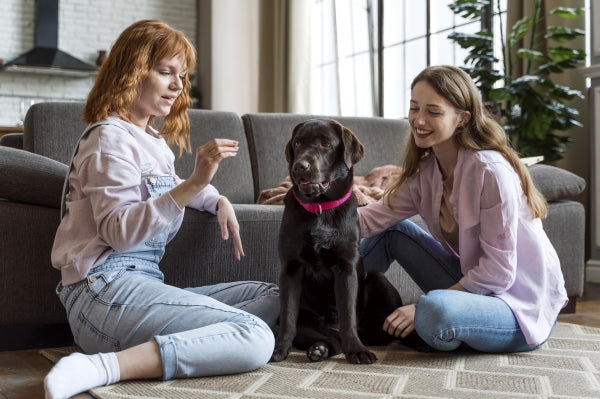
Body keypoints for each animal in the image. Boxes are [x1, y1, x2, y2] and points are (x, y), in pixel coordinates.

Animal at [270, 117, 400, 364]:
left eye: (326, 144)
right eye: (298, 143)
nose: (300, 166)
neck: (320, 208)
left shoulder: (346, 268)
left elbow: (348, 316)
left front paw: (357, 351)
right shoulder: (290, 269)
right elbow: (289, 317)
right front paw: (280, 349)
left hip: (377, 279)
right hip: (303, 317)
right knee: (327, 337)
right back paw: (319, 348)